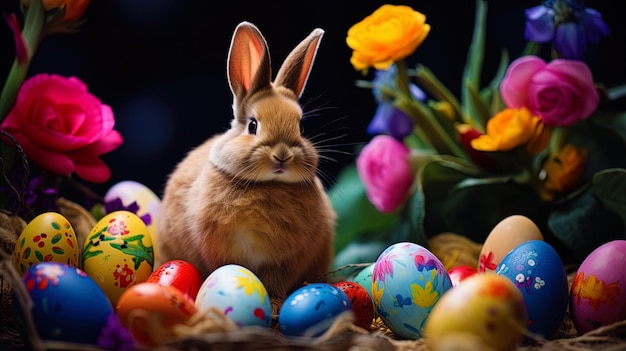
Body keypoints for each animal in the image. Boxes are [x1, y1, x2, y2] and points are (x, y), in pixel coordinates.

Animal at [155, 22, 336, 314]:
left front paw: (275, 306)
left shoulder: (286, 261)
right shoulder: (219, 250)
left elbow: (277, 284)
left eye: (300, 127)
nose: (282, 156)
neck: (265, 185)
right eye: (252, 125)